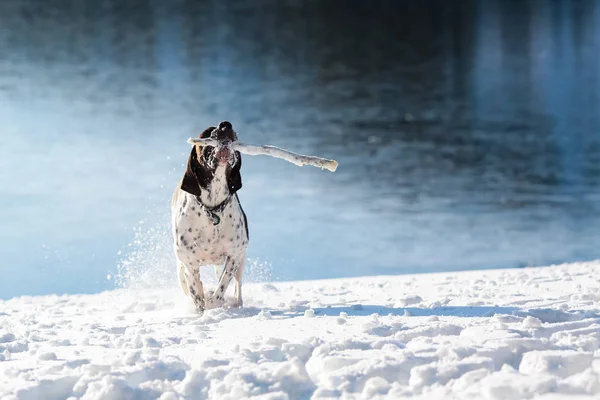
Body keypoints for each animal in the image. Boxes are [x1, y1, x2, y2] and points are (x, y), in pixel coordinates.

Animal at [171, 122, 248, 312]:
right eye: (206, 132)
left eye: (235, 134)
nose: (226, 124)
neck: (213, 209)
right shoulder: (190, 263)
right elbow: (196, 294)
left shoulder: (234, 255)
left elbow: (221, 288)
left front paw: (214, 304)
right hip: (181, 268)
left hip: (241, 258)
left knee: (238, 286)